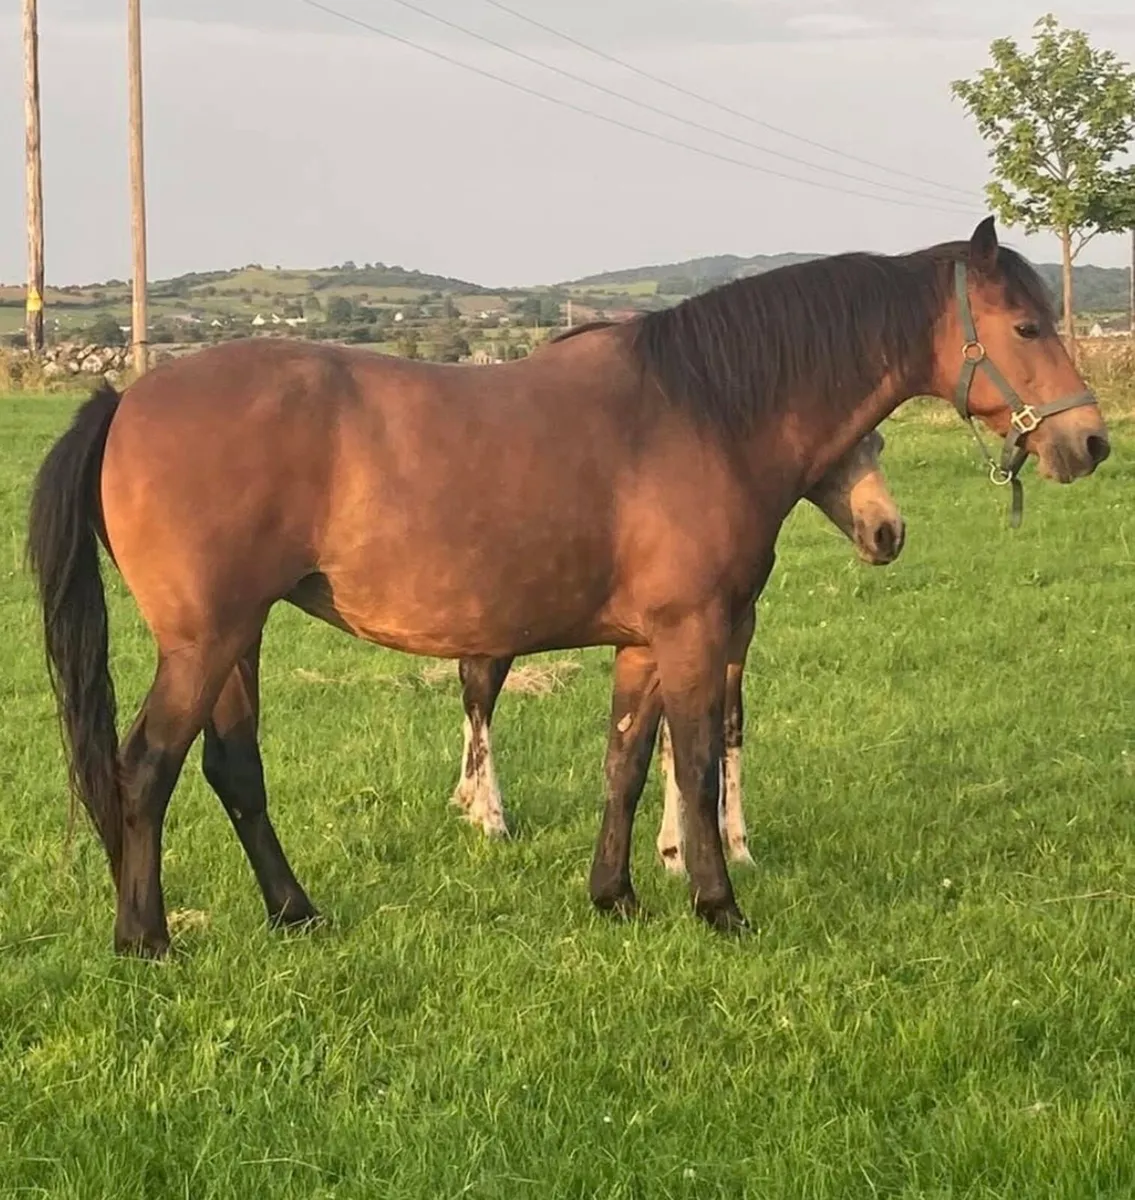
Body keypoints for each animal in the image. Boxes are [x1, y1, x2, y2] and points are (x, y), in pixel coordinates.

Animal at [449, 426, 905, 875]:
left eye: (879, 444)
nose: (886, 533)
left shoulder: (735, 634)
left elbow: (724, 728)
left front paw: (731, 847)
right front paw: (676, 852)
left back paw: (467, 800)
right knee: (479, 701)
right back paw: (491, 818)